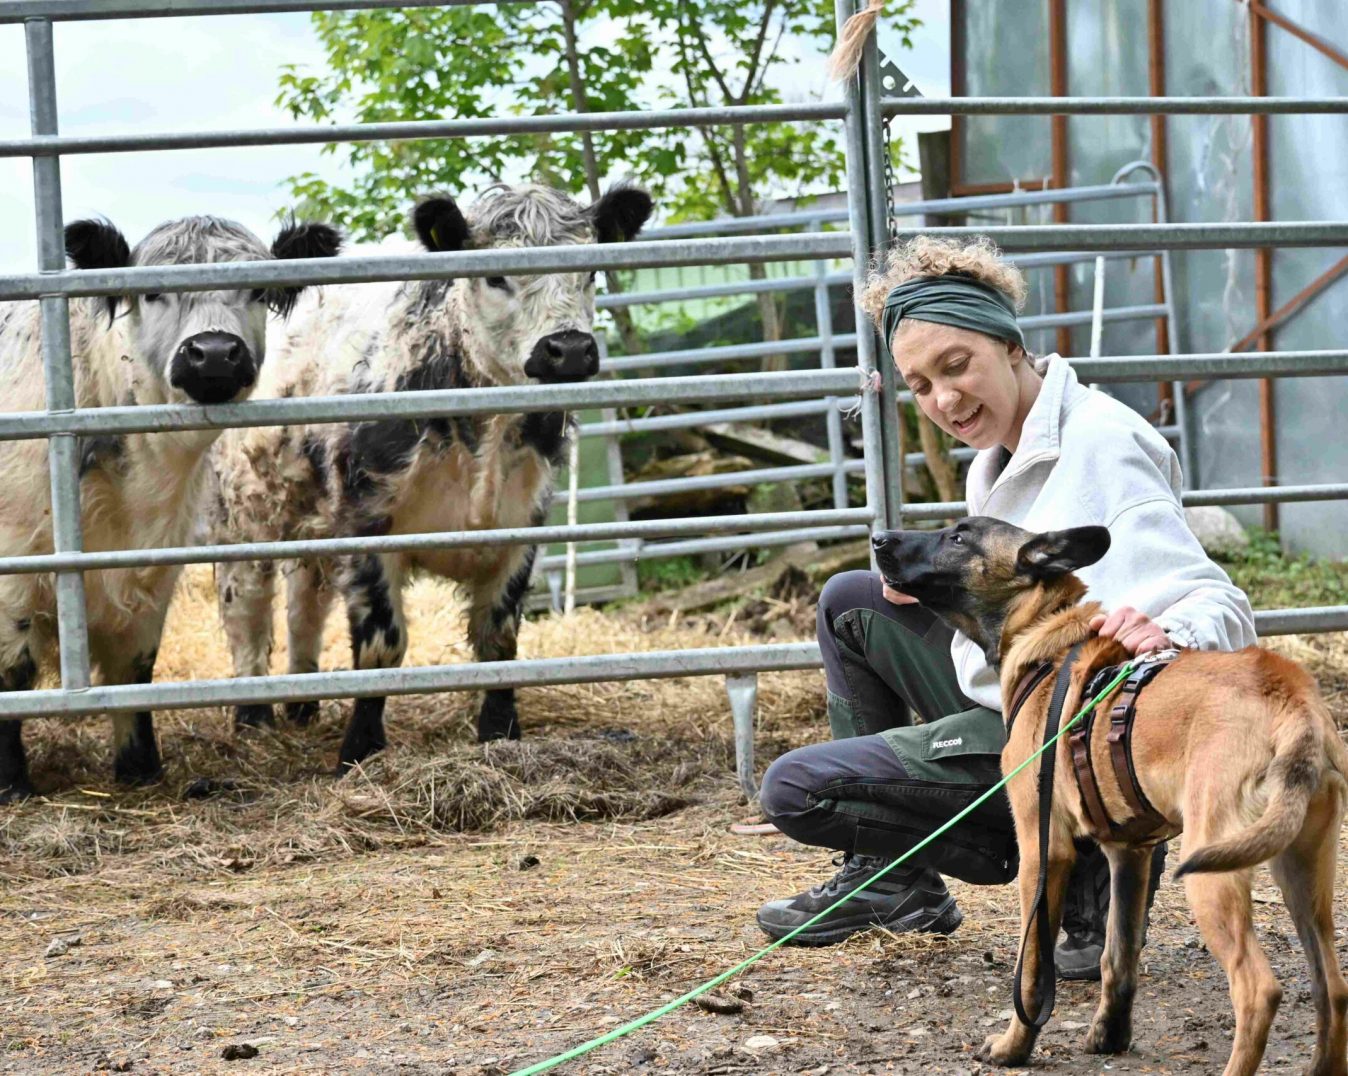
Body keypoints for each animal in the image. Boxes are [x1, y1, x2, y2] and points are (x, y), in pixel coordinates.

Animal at [0, 214, 342, 798]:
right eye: (151, 290)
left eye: (258, 290)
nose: (215, 352)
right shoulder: (13, 579)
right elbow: (13, 675)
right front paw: (12, 783)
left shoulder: (152, 574)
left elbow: (136, 670)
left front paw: (140, 767)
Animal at [208, 180, 652, 771]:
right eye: (495, 276)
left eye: (591, 271)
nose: (570, 350)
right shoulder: (368, 527)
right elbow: (382, 645)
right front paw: (359, 750)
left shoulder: (522, 528)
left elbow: (498, 639)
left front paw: (501, 736)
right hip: (241, 516)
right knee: (248, 609)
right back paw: (252, 715)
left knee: (305, 604)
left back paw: (302, 703)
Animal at [873, 517, 1348, 1073]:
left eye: (959, 537)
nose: (879, 539)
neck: (1048, 642)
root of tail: (1291, 696)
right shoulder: (1129, 854)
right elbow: (1117, 956)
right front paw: (1110, 1034)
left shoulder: (1043, 851)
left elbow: (1031, 969)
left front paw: (1015, 1046)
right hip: (1302, 873)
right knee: (1332, 987)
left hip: (1213, 876)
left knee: (1258, 990)